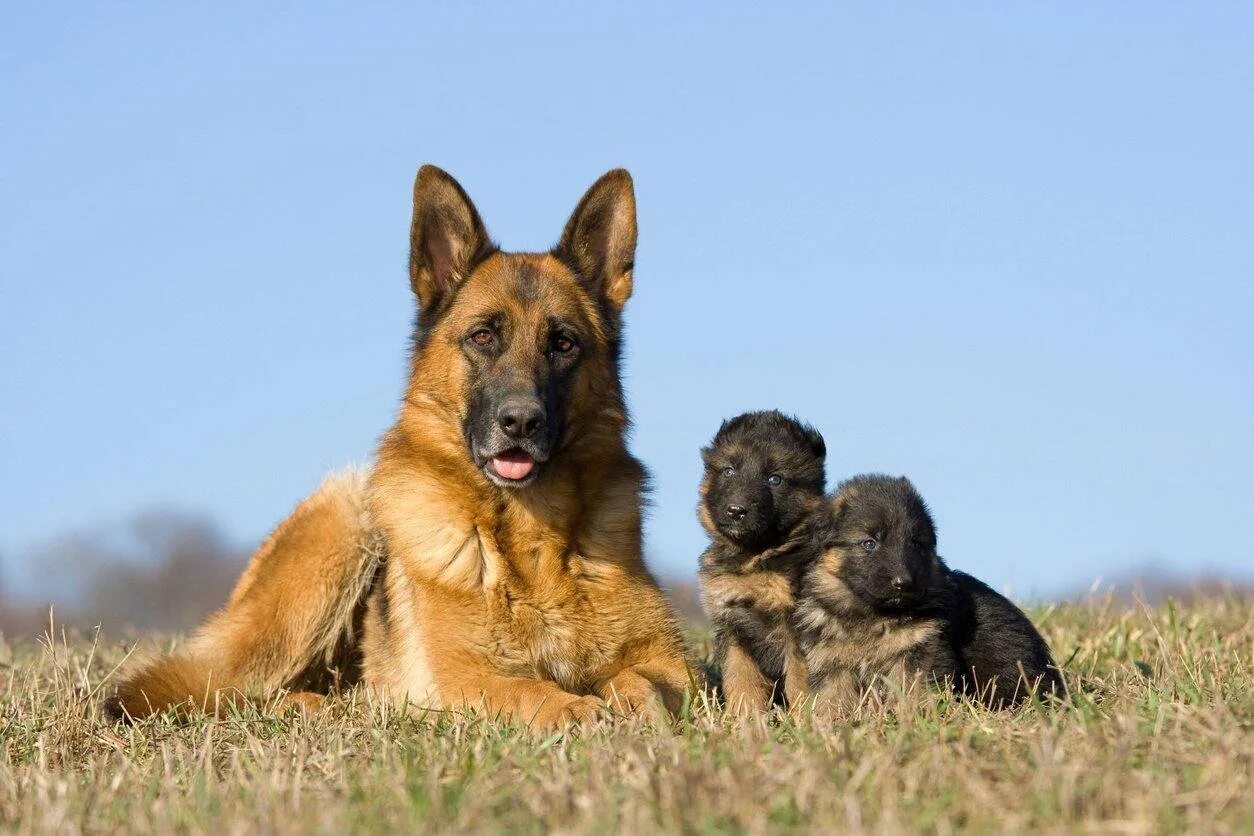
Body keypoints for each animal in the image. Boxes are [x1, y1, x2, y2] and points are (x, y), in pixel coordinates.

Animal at [105, 162, 697, 726]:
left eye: (564, 344)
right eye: (484, 336)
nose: (521, 422)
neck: (531, 542)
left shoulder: (672, 664)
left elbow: (645, 681)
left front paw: (634, 703)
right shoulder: (463, 676)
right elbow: (528, 691)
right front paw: (574, 708)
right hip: (341, 525)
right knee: (241, 691)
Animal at [702, 408, 827, 711]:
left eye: (775, 479)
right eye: (729, 471)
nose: (736, 510)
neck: (755, 557)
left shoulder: (798, 630)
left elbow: (800, 682)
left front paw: (804, 719)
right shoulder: (733, 628)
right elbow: (741, 680)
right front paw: (744, 718)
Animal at [797, 476, 1063, 711]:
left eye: (915, 543)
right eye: (869, 543)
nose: (903, 583)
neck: (873, 615)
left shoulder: (920, 651)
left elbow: (916, 692)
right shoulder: (832, 663)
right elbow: (832, 699)